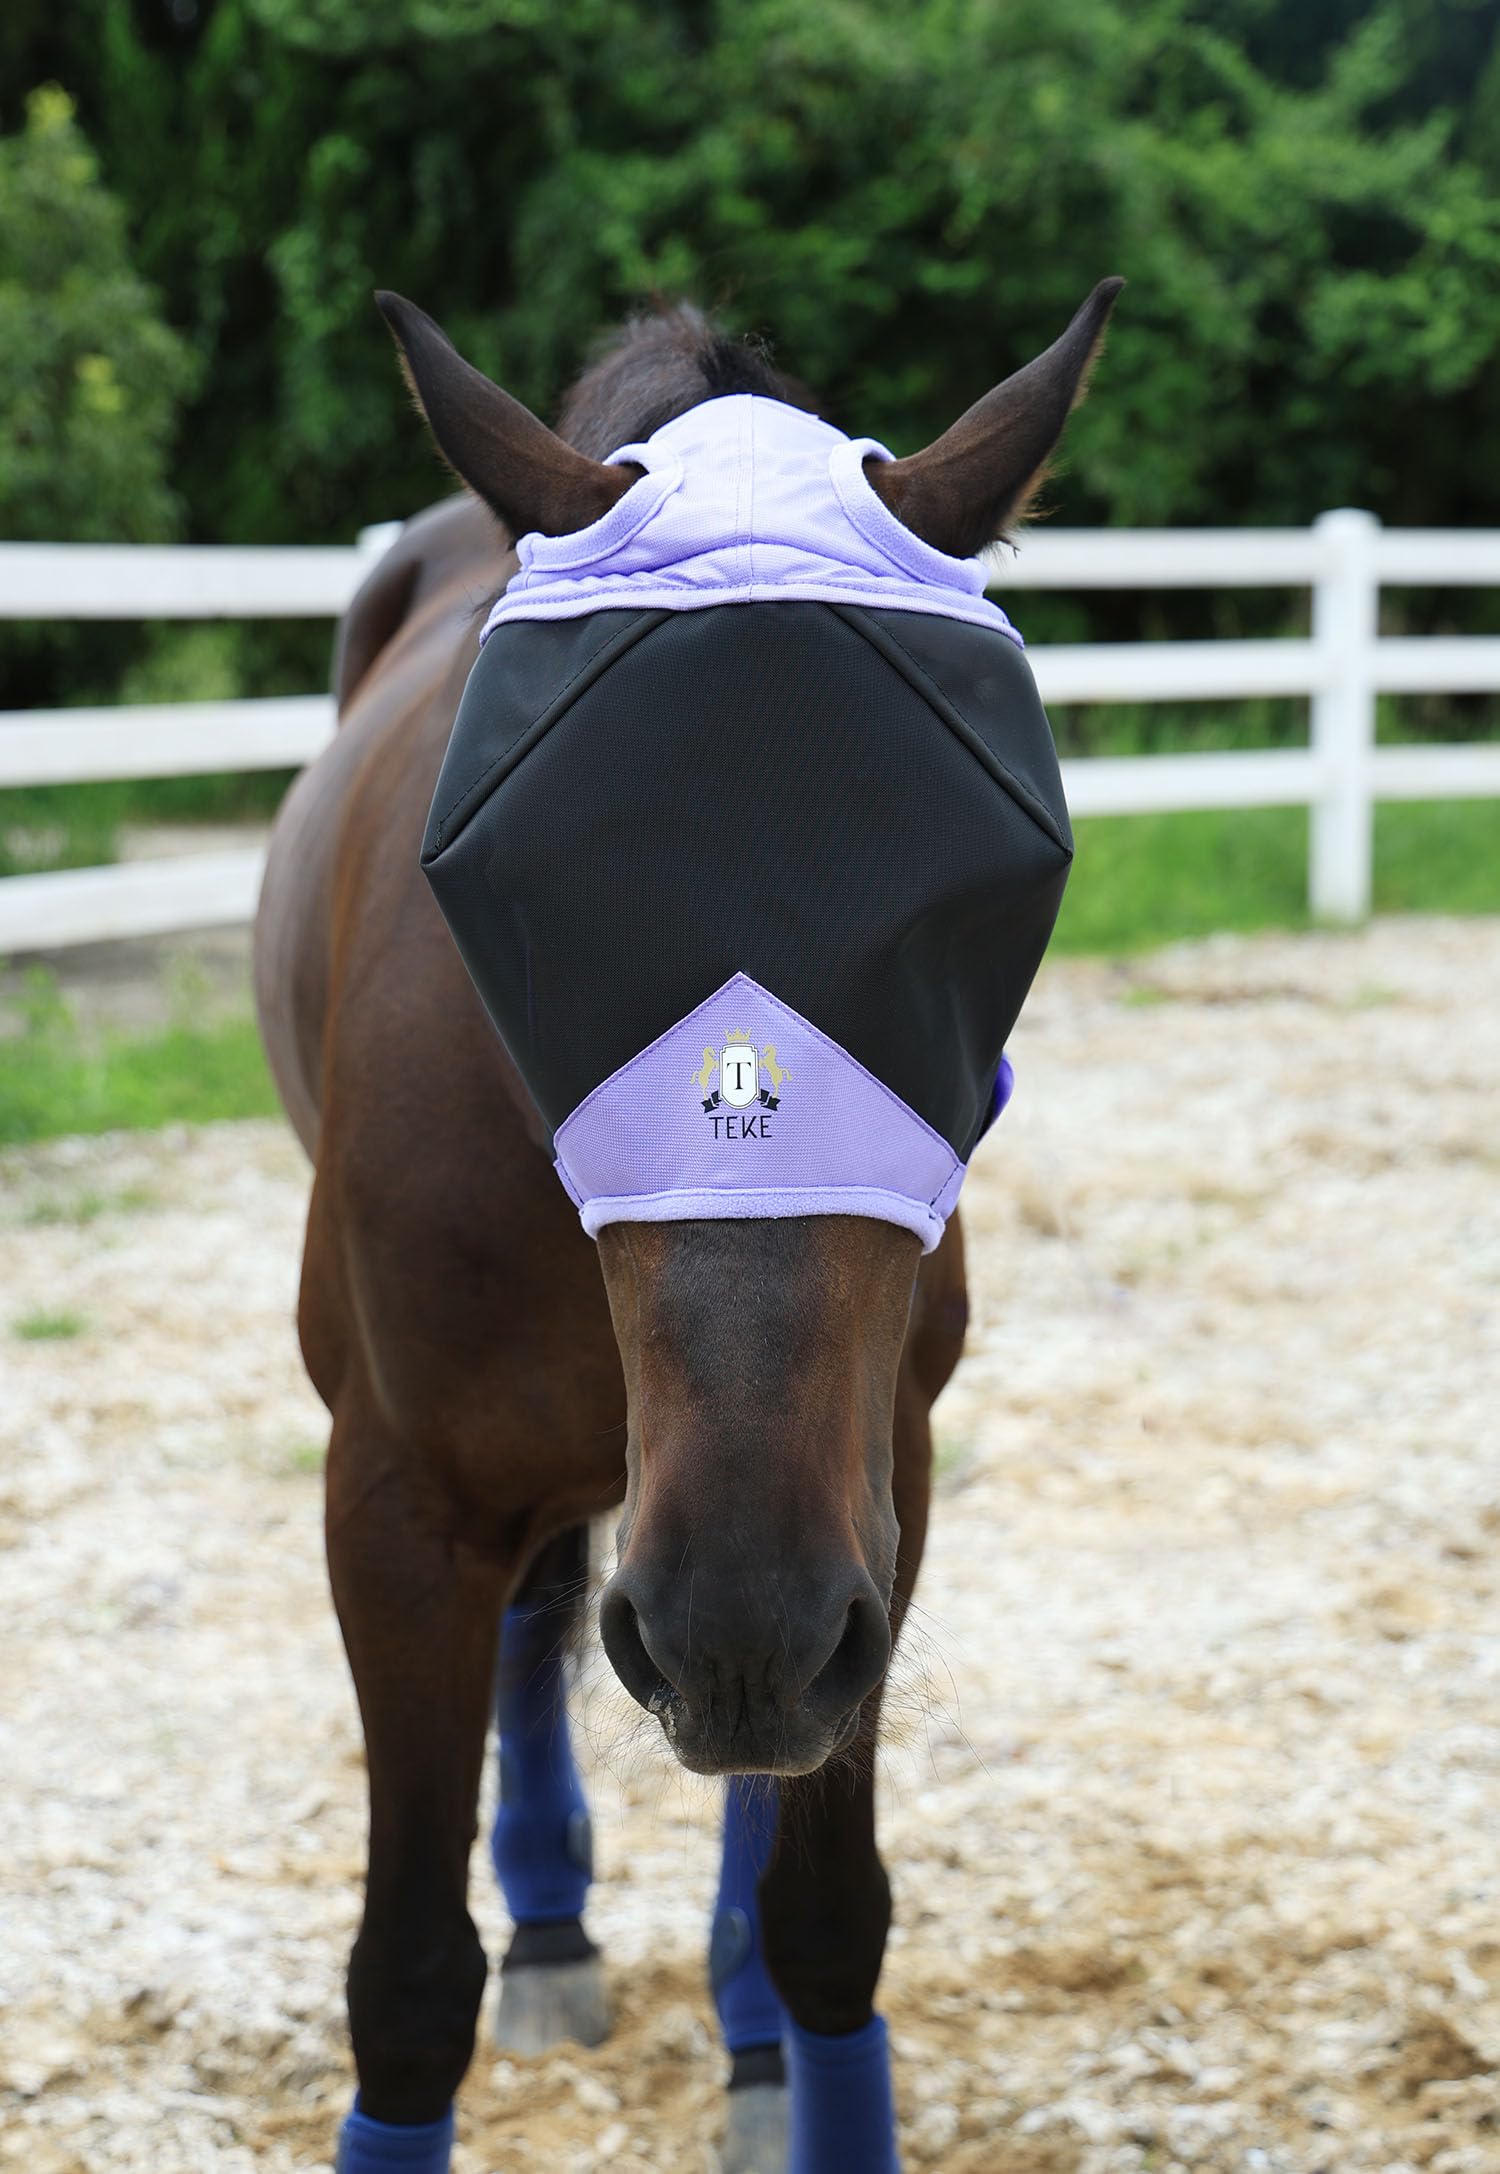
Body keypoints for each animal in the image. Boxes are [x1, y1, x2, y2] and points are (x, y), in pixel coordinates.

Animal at [253, 278, 1118, 2174]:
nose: (740, 1618)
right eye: (530, 885)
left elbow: (827, 1911)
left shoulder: (873, 1481)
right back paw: (557, 1927)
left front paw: (785, 2031)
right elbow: (407, 1983)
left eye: (973, 898)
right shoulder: (396, 1501)